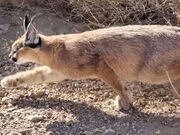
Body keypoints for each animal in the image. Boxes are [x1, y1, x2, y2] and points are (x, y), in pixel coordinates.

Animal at [0, 15, 180, 110]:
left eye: (16, 50)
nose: (9, 56)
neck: (53, 50)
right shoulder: (57, 71)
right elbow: (34, 74)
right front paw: (8, 81)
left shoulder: (100, 65)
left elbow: (117, 84)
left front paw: (125, 102)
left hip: (153, 71)